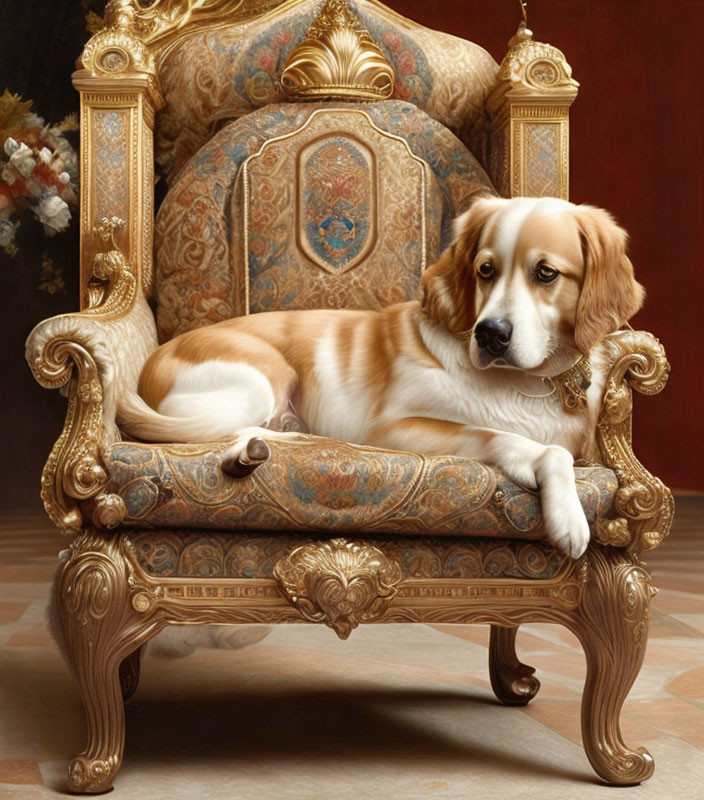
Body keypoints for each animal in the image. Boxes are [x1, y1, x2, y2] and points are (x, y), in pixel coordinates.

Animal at [119, 196, 644, 560]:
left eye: (546, 273)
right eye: (486, 270)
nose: (490, 334)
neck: (522, 383)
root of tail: (153, 363)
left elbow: (555, 449)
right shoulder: (395, 430)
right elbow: (521, 442)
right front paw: (569, 518)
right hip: (262, 381)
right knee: (211, 433)